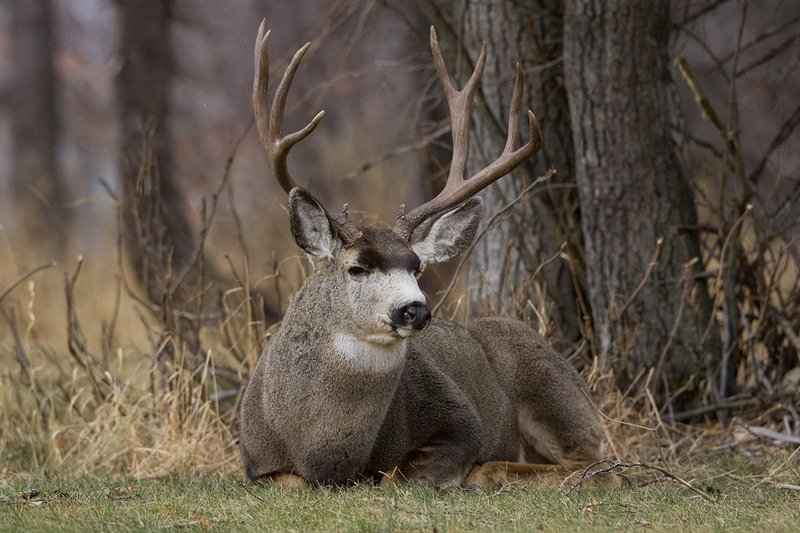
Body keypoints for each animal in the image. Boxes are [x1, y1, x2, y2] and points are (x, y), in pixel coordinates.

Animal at [239, 20, 614, 490]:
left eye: (416, 266)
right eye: (357, 268)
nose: (414, 309)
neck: (324, 451)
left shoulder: (461, 420)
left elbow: (396, 476)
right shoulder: (254, 464)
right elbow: (291, 480)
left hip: (545, 377)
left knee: (599, 466)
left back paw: (491, 471)